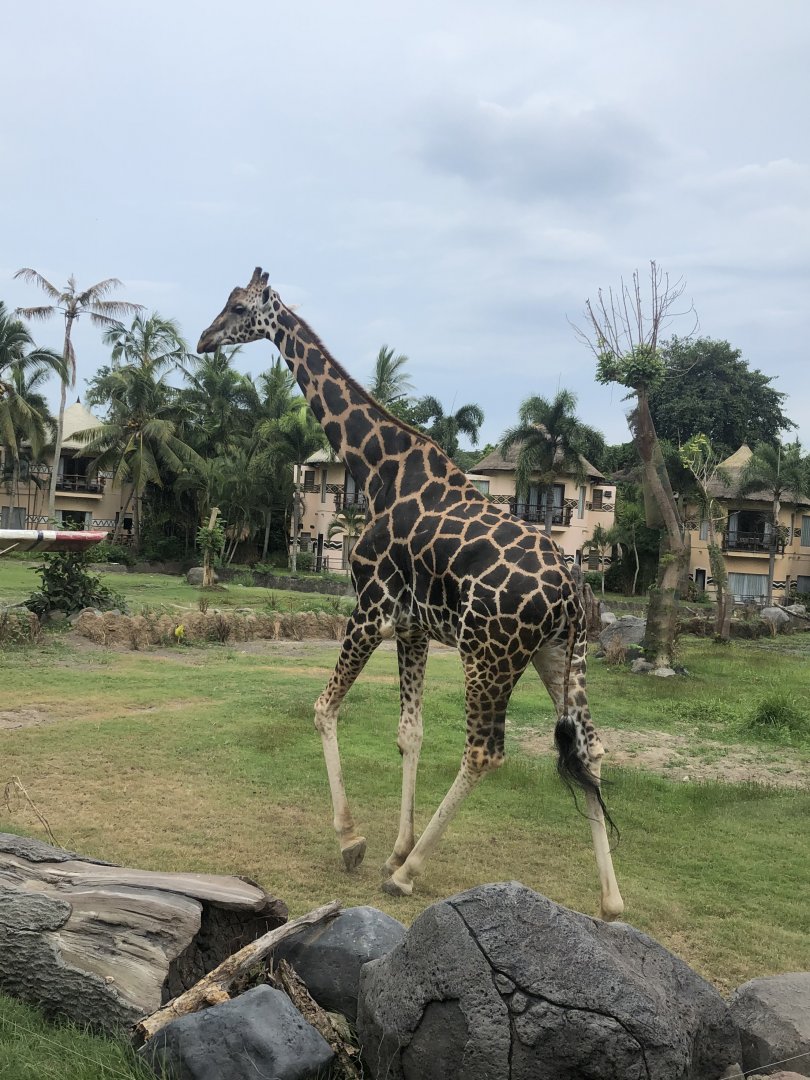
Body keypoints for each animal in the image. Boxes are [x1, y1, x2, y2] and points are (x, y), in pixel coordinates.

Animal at [198, 268, 624, 919]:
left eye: (240, 308)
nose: (203, 339)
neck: (376, 468)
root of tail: (569, 593)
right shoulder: (414, 627)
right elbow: (410, 733)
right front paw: (394, 846)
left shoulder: (370, 609)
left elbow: (323, 708)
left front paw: (356, 843)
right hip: (560, 655)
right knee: (592, 748)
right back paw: (612, 901)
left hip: (490, 655)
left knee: (484, 752)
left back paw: (408, 876)